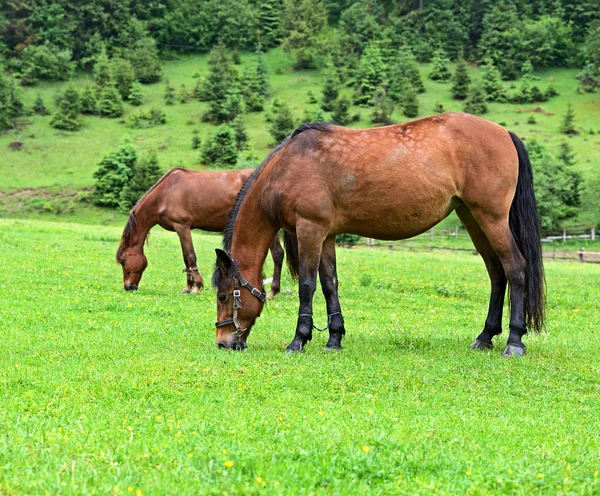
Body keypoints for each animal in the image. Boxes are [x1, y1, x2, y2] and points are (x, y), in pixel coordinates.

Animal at [118, 169, 286, 296]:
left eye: (124, 261)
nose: (128, 286)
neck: (165, 194)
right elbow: (186, 259)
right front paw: (188, 287)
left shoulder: (182, 226)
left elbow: (190, 256)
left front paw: (197, 286)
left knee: (278, 254)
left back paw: (272, 292)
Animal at [213, 114, 548, 356]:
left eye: (223, 295)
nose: (223, 342)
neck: (288, 167)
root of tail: (503, 133)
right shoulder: (327, 236)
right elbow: (330, 285)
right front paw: (334, 339)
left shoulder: (310, 230)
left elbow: (307, 286)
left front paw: (298, 341)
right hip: (473, 218)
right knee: (497, 273)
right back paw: (485, 336)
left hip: (491, 218)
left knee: (515, 268)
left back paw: (514, 341)